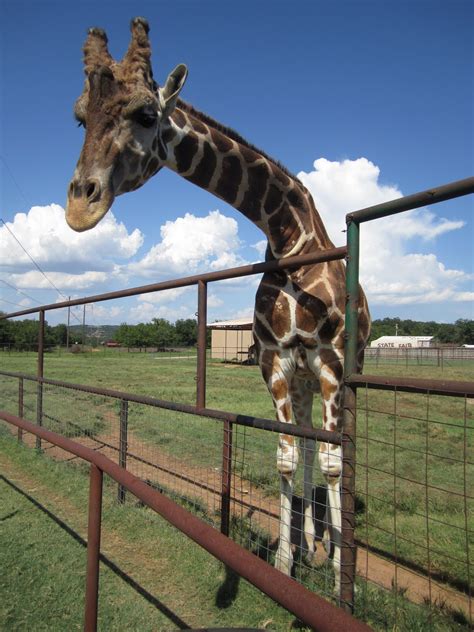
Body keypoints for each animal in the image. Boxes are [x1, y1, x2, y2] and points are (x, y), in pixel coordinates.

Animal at [66, 18, 370, 592]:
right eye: (80, 116)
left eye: (146, 114)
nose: (78, 208)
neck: (290, 240)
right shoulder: (276, 361)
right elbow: (287, 456)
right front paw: (286, 560)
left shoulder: (333, 362)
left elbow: (333, 461)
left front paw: (343, 577)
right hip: (302, 380)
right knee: (310, 445)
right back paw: (313, 543)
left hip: (348, 371)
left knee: (339, 447)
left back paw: (333, 551)